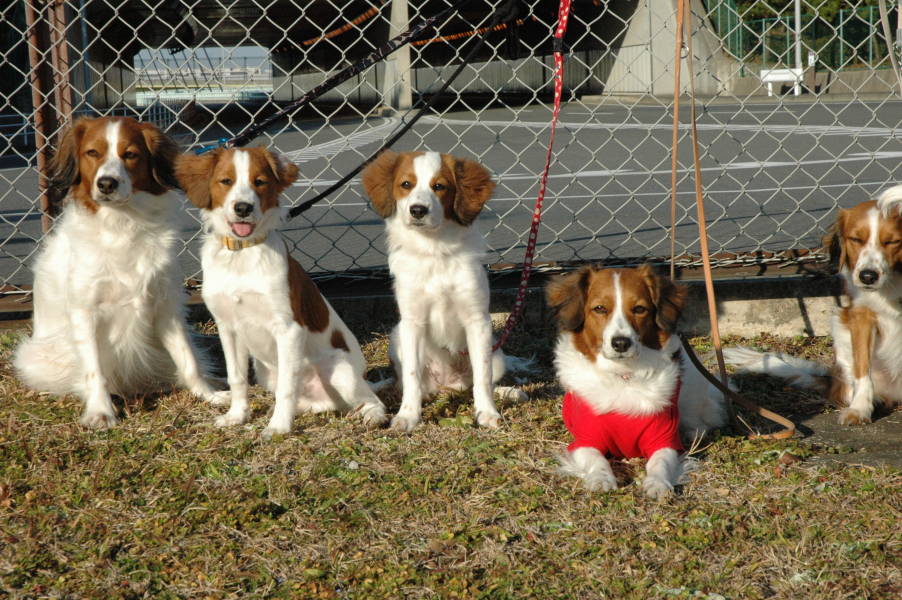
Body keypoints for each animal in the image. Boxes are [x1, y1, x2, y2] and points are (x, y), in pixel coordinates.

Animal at [14, 117, 222, 426]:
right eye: (92, 153)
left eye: (130, 154)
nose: (106, 183)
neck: (122, 223)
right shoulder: (85, 312)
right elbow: (94, 370)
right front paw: (100, 411)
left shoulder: (165, 305)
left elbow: (188, 358)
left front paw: (207, 394)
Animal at [177, 145, 388, 436]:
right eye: (226, 181)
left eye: (259, 182)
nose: (243, 208)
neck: (241, 255)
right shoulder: (227, 327)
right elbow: (237, 378)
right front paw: (237, 416)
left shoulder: (289, 329)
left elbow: (288, 386)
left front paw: (278, 428)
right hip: (266, 373)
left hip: (338, 369)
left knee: (371, 399)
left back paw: (373, 416)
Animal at [362, 150, 528, 432]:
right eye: (406, 184)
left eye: (439, 186)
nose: (418, 210)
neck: (434, 250)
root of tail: (449, 385)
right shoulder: (412, 322)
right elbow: (412, 377)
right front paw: (408, 416)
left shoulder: (477, 321)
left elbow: (483, 377)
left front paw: (487, 412)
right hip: (397, 338)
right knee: (410, 384)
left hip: (496, 353)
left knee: (478, 382)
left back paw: (509, 393)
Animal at [544, 264, 728, 500]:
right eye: (600, 308)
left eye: (639, 309)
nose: (621, 343)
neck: (624, 375)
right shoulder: (584, 441)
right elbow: (596, 459)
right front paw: (601, 478)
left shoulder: (663, 438)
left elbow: (661, 462)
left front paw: (658, 483)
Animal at [728, 189, 902, 426]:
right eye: (856, 239)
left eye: (892, 242)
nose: (867, 277)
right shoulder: (860, 316)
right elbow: (862, 370)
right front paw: (860, 409)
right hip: (840, 326)